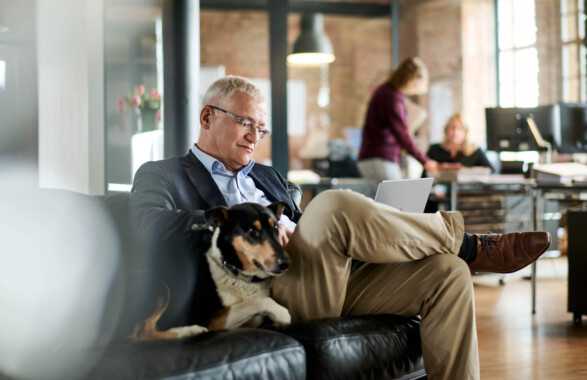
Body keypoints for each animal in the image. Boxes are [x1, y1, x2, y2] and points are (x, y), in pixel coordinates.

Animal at [130, 202, 292, 342]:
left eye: (276, 227)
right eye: (252, 231)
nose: (286, 263)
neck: (238, 275)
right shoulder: (214, 319)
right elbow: (260, 301)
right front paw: (282, 313)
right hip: (160, 286)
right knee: (142, 334)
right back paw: (189, 331)